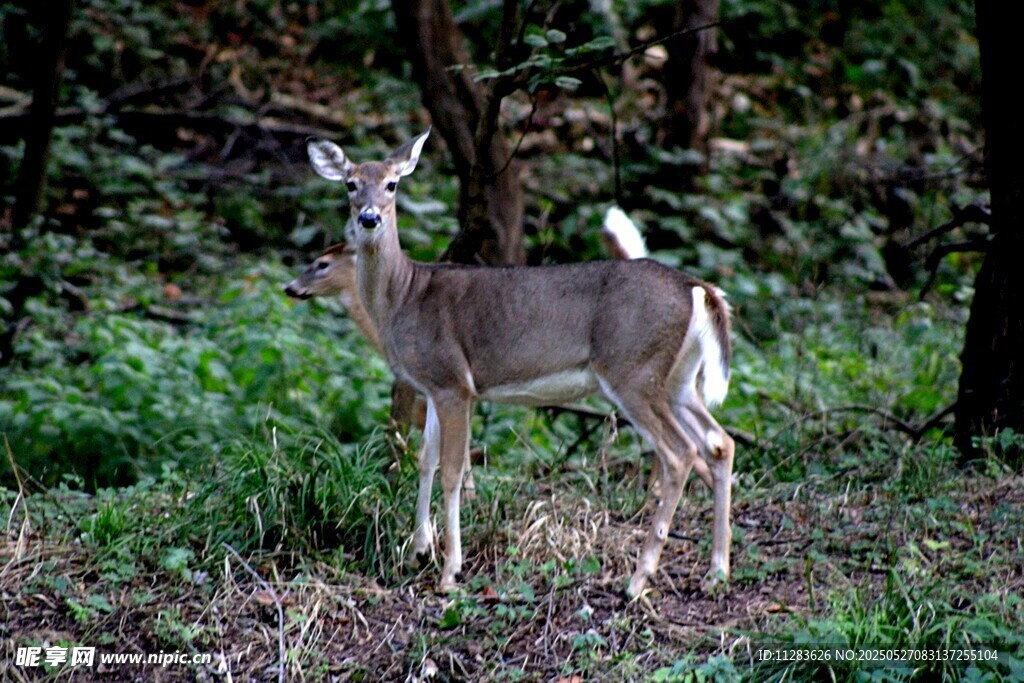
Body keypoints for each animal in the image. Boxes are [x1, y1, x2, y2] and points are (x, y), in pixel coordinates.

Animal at [304, 129, 735, 598]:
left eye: (391, 184)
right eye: (350, 184)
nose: (368, 218)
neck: (404, 295)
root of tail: (697, 287)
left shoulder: (453, 381)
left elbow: (452, 470)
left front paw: (450, 571)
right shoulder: (434, 386)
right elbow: (425, 461)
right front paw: (418, 551)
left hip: (632, 369)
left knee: (680, 452)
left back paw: (639, 579)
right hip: (678, 380)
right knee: (720, 442)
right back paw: (717, 571)